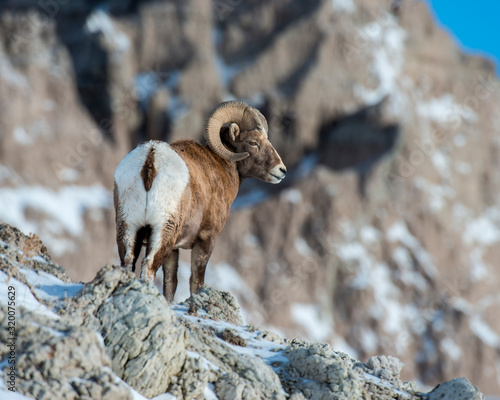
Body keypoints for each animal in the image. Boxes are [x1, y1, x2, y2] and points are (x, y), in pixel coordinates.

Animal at [113, 100, 286, 300]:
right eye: (253, 143)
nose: (281, 170)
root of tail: (151, 159)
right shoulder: (206, 239)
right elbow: (196, 280)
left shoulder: (174, 249)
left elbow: (170, 283)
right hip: (162, 232)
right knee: (149, 266)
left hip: (128, 228)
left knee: (128, 263)